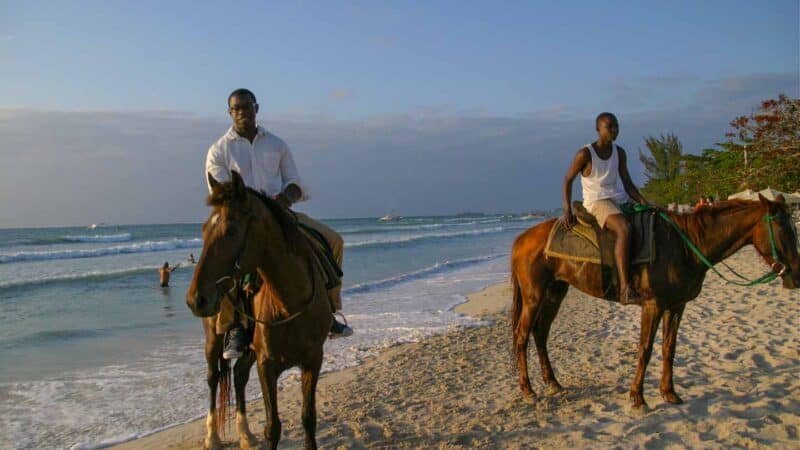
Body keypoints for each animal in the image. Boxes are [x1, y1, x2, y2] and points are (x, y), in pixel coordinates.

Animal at [187, 171, 332, 448]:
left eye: (232, 230)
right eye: (203, 230)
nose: (195, 300)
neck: (289, 303)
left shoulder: (313, 360)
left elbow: (308, 417)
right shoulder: (267, 366)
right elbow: (272, 427)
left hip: (249, 349)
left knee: (239, 376)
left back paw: (245, 433)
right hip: (214, 339)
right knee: (213, 378)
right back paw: (212, 436)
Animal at [512, 195, 800, 410]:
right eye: (783, 230)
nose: (795, 275)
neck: (687, 245)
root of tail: (520, 240)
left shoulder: (677, 305)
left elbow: (669, 349)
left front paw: (669, 393)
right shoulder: (654, 305)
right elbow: (645, 349)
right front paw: (638, 397)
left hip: (555, 292)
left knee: (540, 333)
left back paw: (553, 383)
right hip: (534, 296)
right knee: (522, 336)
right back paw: (528, 390)